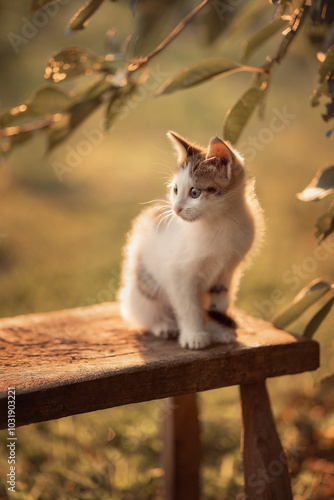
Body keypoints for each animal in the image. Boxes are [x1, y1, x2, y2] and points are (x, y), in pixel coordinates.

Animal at [117, 131, 264, 350]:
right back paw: (163, 325)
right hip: (143, 286)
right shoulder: (177, 274)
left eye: (195, 192)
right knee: (142, 313)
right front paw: (194, 336)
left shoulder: (227, 271)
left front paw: (218, 330)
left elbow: (219, 303)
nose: (176, 209)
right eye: (176, 190)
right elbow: (187, 307)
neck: (219, 221)